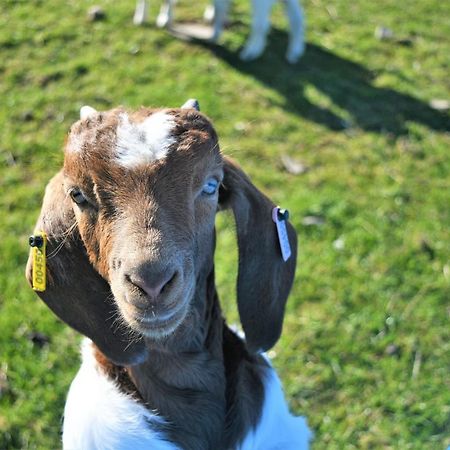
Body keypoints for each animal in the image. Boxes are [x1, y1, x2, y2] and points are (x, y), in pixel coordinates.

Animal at [133, 0, 306, 63]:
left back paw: (251, 52)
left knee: (261, 23)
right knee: (297, 16)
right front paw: (142, 17)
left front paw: (164, 18)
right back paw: (294, 52)